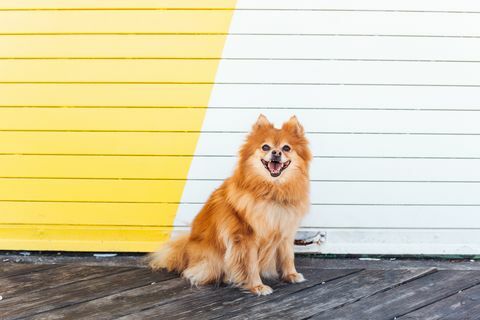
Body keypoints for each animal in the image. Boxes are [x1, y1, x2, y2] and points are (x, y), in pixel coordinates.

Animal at [151, 114, 316, 296]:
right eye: (265, 147)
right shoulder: (245, 236)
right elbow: (251, 264)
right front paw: (257, 286)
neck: (272, 192)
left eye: (286, 148)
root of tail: (186, 250)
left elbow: (288, 256)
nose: (276, 152)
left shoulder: (285, 229)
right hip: (212, 260)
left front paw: (291, 275)